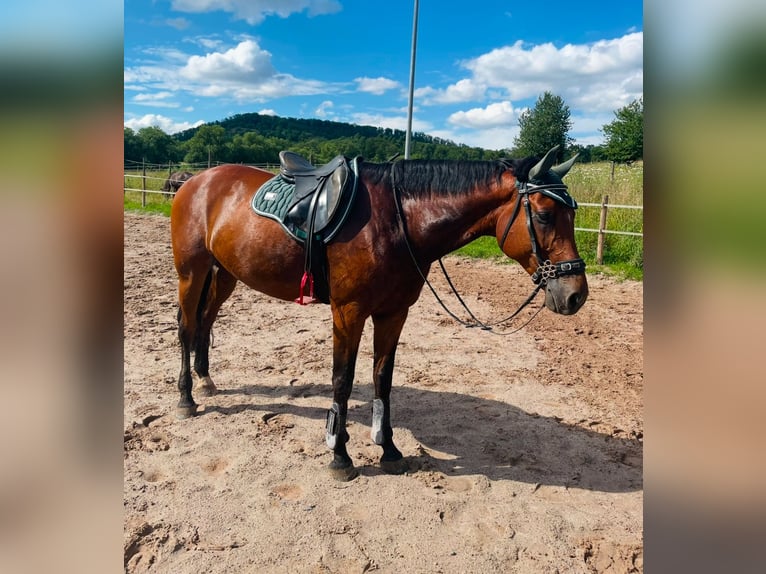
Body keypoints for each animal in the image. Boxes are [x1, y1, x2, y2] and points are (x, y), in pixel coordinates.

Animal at [170, 147, 588, 482]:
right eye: (545, 215)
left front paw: (388, 449)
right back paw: (186, 398)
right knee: (187, 328)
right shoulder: (348, 312)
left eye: (572, 213)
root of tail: (195, 180)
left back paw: (205, 379)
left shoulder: (393, 312)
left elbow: (382, 378)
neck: (395, 220)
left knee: (206, 322)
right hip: (192, 273)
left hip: (225, 274)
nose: (575, 295)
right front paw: (339, 455)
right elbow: (342, 379)